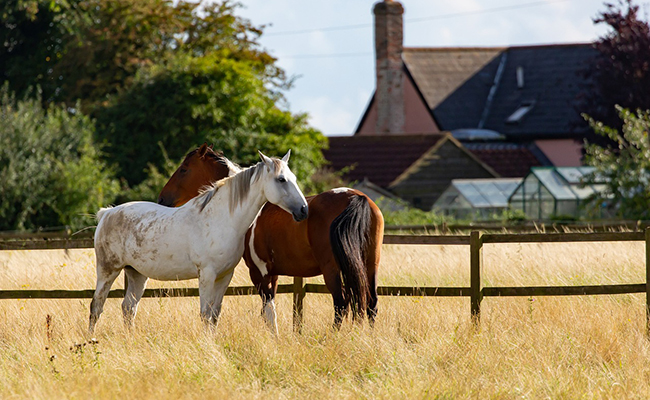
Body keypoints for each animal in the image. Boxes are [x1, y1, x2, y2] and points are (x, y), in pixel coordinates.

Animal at [88, 150, 306, 332]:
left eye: (293, 178)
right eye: (281, 179)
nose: (303, 210)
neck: (222, 219)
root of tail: (107, 213)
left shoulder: (224, 276)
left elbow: (215, 315)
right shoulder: (207, 275)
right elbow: (205, 314)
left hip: (136, 274)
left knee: (128, 308)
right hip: (108, 270)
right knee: (96, 305)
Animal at [158, 145, 382, 332]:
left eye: (184, 169)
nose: (162, 198)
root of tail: (356, 197)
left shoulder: (259, 272)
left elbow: (268, 311)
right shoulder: (272, 273)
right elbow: (268, 312)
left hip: (333, 269)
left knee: (341, 304)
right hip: (370, 265)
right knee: (370, 303)